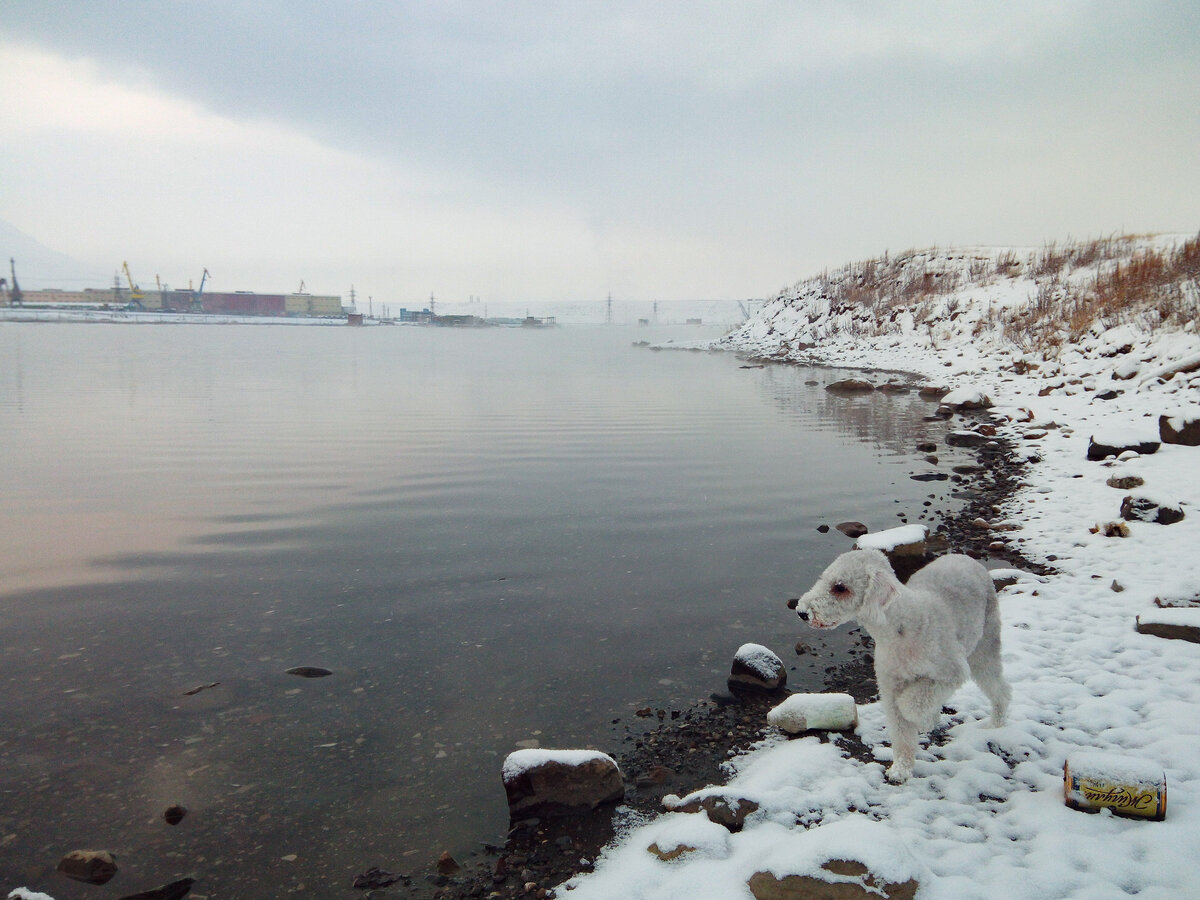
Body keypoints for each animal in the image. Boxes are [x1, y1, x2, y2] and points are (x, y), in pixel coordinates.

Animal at [796, 547, 1012, 787]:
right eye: (823, 578)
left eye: (840, 587)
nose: (802, 612)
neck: (902, 628)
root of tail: (965, 557)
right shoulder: (890, 684)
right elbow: (901, 733)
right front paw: (900, 770)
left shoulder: (951, 671)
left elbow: (910, 703)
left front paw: (918, 717)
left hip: (984, 647)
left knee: (1000, 688)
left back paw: (995, 723)